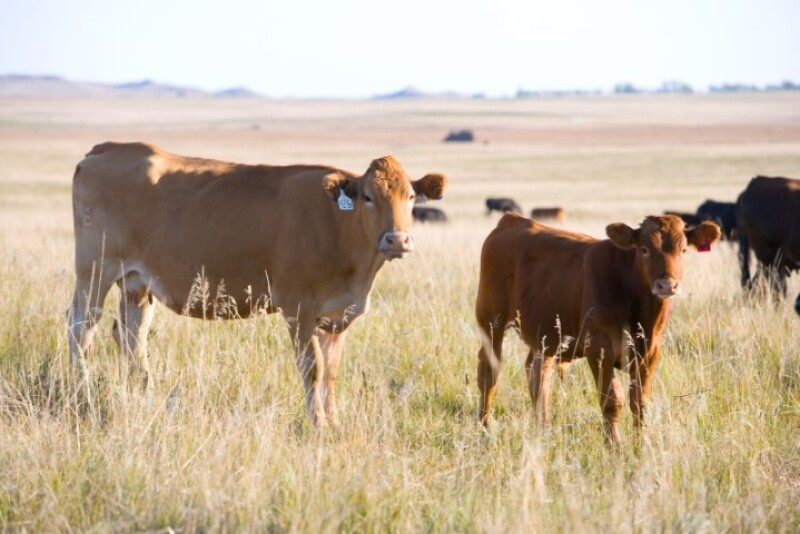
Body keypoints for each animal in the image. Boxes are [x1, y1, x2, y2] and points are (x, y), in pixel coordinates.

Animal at [67, 142, 447, 426]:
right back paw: (81, 397)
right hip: (94, 270)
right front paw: (317, 424)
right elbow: (313, 368)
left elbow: (332, 371)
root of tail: (108, 149)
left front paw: (335, 421)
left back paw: (144, 395)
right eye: (368, 197)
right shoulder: (298, 307)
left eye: (410, 197)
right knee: (82, 328)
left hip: (136, 281)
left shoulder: (338, 314)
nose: (397, 240)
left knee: (132, 335)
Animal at [475, 213, 720, 446]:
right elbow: (612, 400)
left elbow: (640, 401)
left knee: (538, 375)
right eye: (644, 249)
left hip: (545, 334)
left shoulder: (650, 352)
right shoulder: (598, 348)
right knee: (489, 372)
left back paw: (543, 428)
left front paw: (641, 443)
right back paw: (485, 427)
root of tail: (512, 219)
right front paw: (614, 445)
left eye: (684, 250)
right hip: (491, 321)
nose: (667, 285)